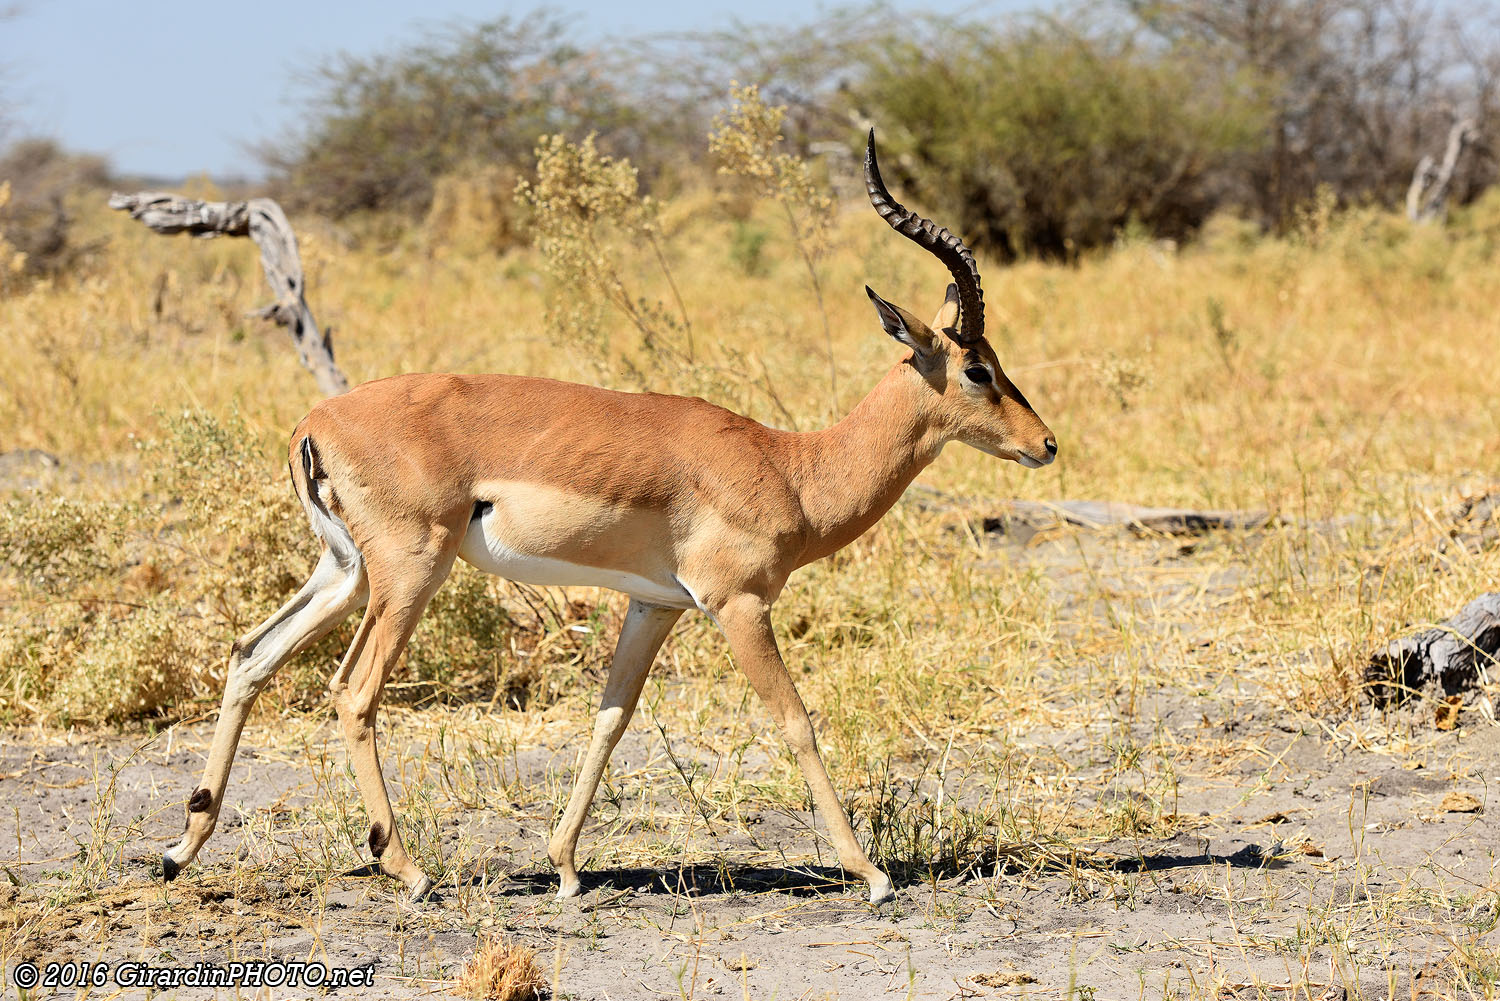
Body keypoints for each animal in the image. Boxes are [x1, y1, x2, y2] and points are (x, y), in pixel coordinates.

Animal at [160, 132, 1056, 905]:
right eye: (978, 368)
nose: (1045, 443)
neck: (792, 467)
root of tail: (315, 420)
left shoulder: (653, 606)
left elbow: (610, 719)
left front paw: (562, 865)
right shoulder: (738, 606)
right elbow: (796, 721)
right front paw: (871, 873)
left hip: (346, 571)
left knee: (249, 653)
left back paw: (181, 849)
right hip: (411, 571)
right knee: (353, 691)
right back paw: (407, 870)